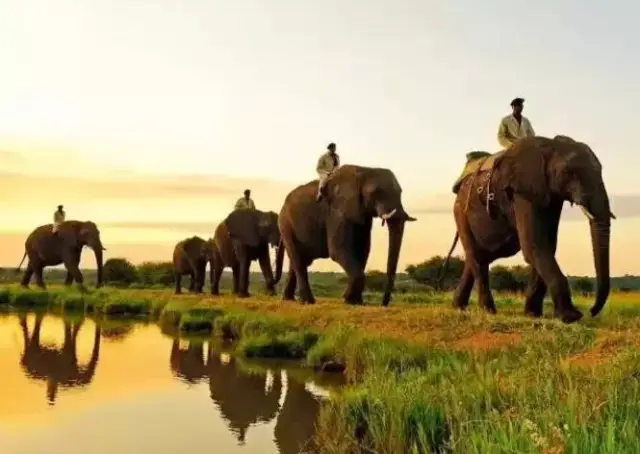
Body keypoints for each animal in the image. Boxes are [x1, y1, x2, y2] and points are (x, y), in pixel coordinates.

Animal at [278, 164, 417, 305]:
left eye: (400, 193)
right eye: (376, 192)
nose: (383, 304)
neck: (364, 170)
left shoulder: (362, 214)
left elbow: (363, 249)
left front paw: (356, 302)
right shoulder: (336, 211)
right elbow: (338, 250)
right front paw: (347, 299)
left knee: (297, 261)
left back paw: (289, 299)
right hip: (285, 225)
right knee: (299, 261)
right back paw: (308, 302)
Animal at [444, 135, 614, 323]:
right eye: (569, 172)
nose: (591, 311)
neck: (549, 146)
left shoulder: (550, 195)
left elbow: (546, 246)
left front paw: (533, 315)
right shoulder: (522, 192)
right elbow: (534, 246)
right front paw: (571, 317)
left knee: (477, 257)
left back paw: (459, 307)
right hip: (461, 212)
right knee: (478, 258)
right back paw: (488, 311)